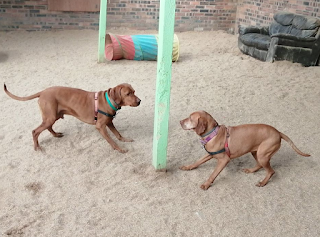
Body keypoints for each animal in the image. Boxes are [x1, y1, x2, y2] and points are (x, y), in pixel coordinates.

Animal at [3, 84, 141, 154]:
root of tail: (42, 92)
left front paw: (125, 140)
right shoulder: (101, 126)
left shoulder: (109, 122)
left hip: (53, 116)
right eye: (128, 94)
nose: (139, 101)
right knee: (35, 131)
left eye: (134, 91)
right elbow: (112, 140)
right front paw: (120, 149)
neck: (109, 100)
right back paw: (37, 147)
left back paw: (56, 135)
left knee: (48, 127)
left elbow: (118, 135)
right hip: (50, 117)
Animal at [180, 110, 310, 190]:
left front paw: (206, 184)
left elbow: (213, 174)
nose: (180, 121)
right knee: (260, 165)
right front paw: (187, 167)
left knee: (271, 171)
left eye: (190, 118)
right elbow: (197, 162)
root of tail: (278, 132)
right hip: (256, 152)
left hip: (263, 154)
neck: (213, 133)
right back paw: (251, 170)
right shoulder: (210, 154)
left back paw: (262, 182)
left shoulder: (223, 160)